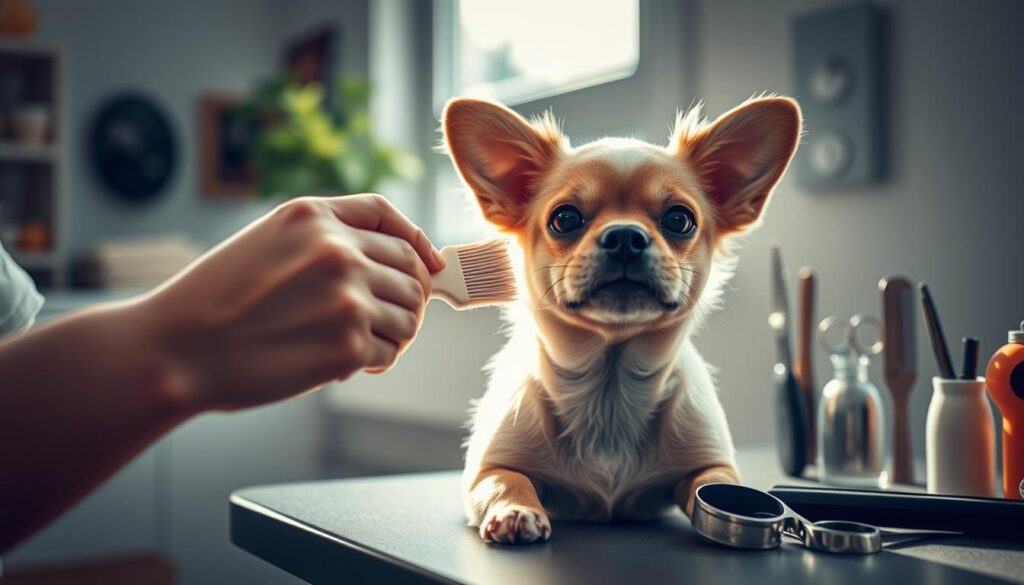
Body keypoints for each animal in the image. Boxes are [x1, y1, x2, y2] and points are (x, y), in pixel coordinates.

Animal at [444, 94, 802, 545]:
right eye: (565, 218)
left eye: (679, 220)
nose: (626, 236)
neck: (609, 393)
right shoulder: (488, 467)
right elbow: (506, 480)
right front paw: (516, 509)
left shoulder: (711, 463)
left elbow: (715, 485)